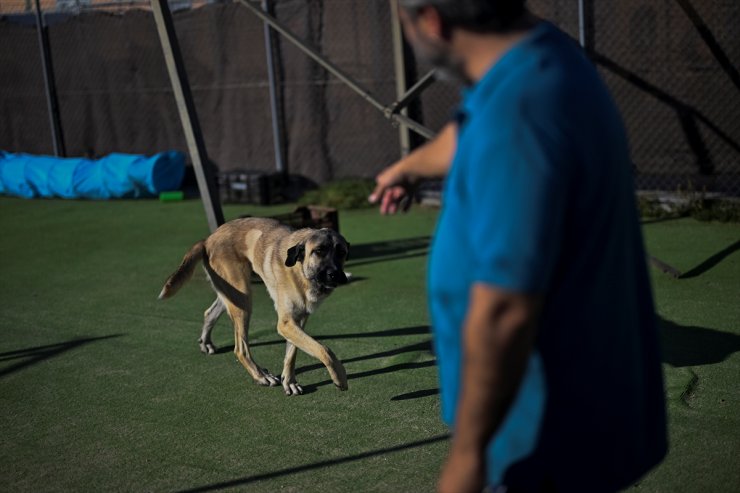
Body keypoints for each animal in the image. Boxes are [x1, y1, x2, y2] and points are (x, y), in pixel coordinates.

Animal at [158, 217, 348, 394]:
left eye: (341, 252)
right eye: (318, 251)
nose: (336, 275)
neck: (301, 271)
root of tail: (208, 239)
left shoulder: (298, 320)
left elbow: (292, 353)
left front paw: (289, 381)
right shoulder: (285, 324)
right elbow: (324, 349)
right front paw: (339, 377)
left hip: (233, 294)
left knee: (209, 313)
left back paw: (206, 342)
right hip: (243, 300)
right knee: (240, 349)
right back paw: (260, 376)